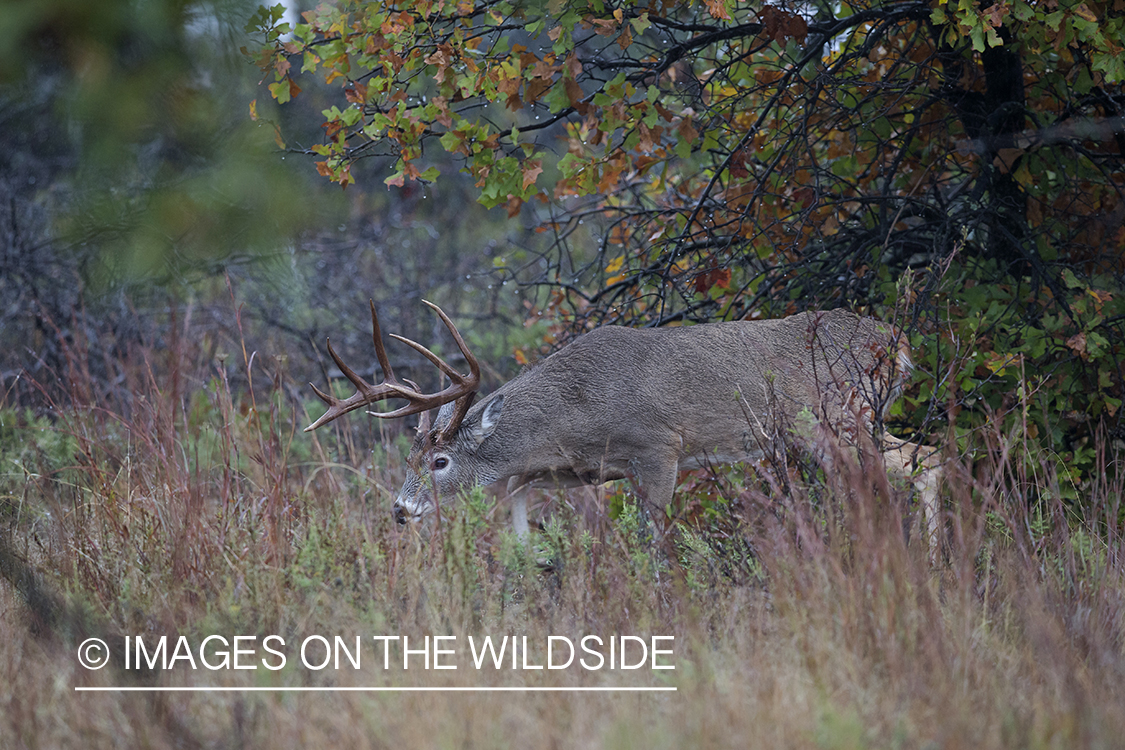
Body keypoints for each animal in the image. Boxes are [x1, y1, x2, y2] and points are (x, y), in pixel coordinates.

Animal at [306, 301, 940, 555]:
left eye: (439, 462)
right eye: (410, 460)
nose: (400, 510)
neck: (580, 408)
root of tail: (899, 341)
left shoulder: (659, 446)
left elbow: (654, 536)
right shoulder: (578, 469)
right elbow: (517, 503)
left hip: (838, 417)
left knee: (912, 466)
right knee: (917, 463)